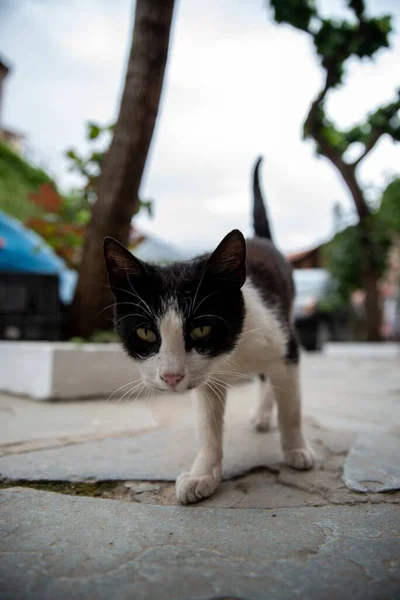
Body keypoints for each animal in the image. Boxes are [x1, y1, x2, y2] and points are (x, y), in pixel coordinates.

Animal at [104, 157, 316, 504]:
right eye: (146, 333)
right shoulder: (206, 379)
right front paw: (204, 475)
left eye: (202, 329)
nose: (171, 377)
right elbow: (208, 426)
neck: (231, 355)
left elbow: (291, 407)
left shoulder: (286, 344)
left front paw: (297, 448)